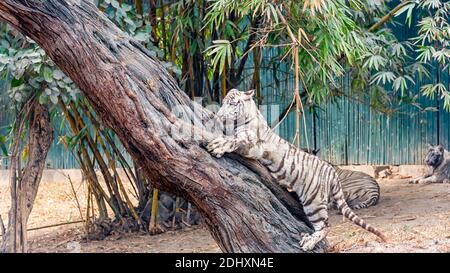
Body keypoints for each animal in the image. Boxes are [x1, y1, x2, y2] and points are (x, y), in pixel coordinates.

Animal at [207, 89, 386, 251]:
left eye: (232, 103)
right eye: (223, 103)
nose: (220, 115)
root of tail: (331, 170)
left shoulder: (251, 143)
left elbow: (233, 140)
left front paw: (217, 146)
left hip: (313, 201)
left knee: (325, 226)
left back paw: (308, 243)